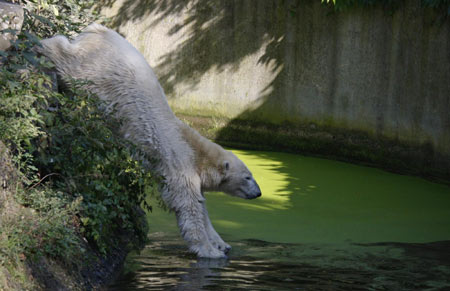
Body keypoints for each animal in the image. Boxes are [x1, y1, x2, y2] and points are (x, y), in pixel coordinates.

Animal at [38, 24, 260, 258]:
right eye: (247, 177)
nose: (259, 193)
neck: (195, 151)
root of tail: (98, 30)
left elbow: (201, 206)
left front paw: (221, 244)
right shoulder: (179, 164)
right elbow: (188, 205)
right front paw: (209, 250)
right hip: (99, 71)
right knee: (68, 62)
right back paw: (42, 45)